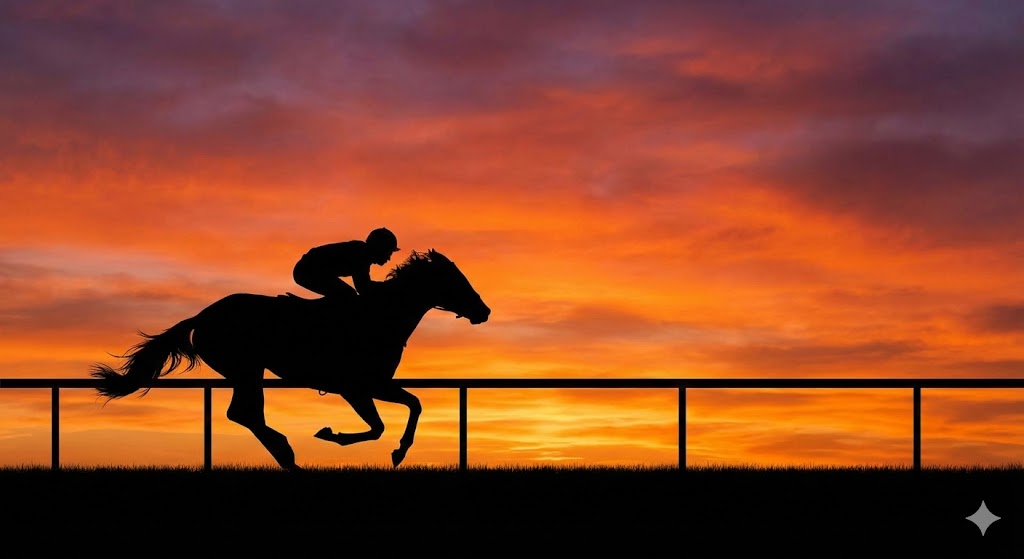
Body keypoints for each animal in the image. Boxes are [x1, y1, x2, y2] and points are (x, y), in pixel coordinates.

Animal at [90, 249, 490, 469]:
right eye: (456, 280)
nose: (484, 311)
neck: (381, 316)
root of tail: (202, 317)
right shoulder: (356, 386)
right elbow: (385, 422)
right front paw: (336, 436)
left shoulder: (371, 385)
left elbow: (412, 406)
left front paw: (396, 450)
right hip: (246, 369)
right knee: (244, 414)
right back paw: (286, 452)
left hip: (246, 372)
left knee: (244, 414)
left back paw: (286, 455)